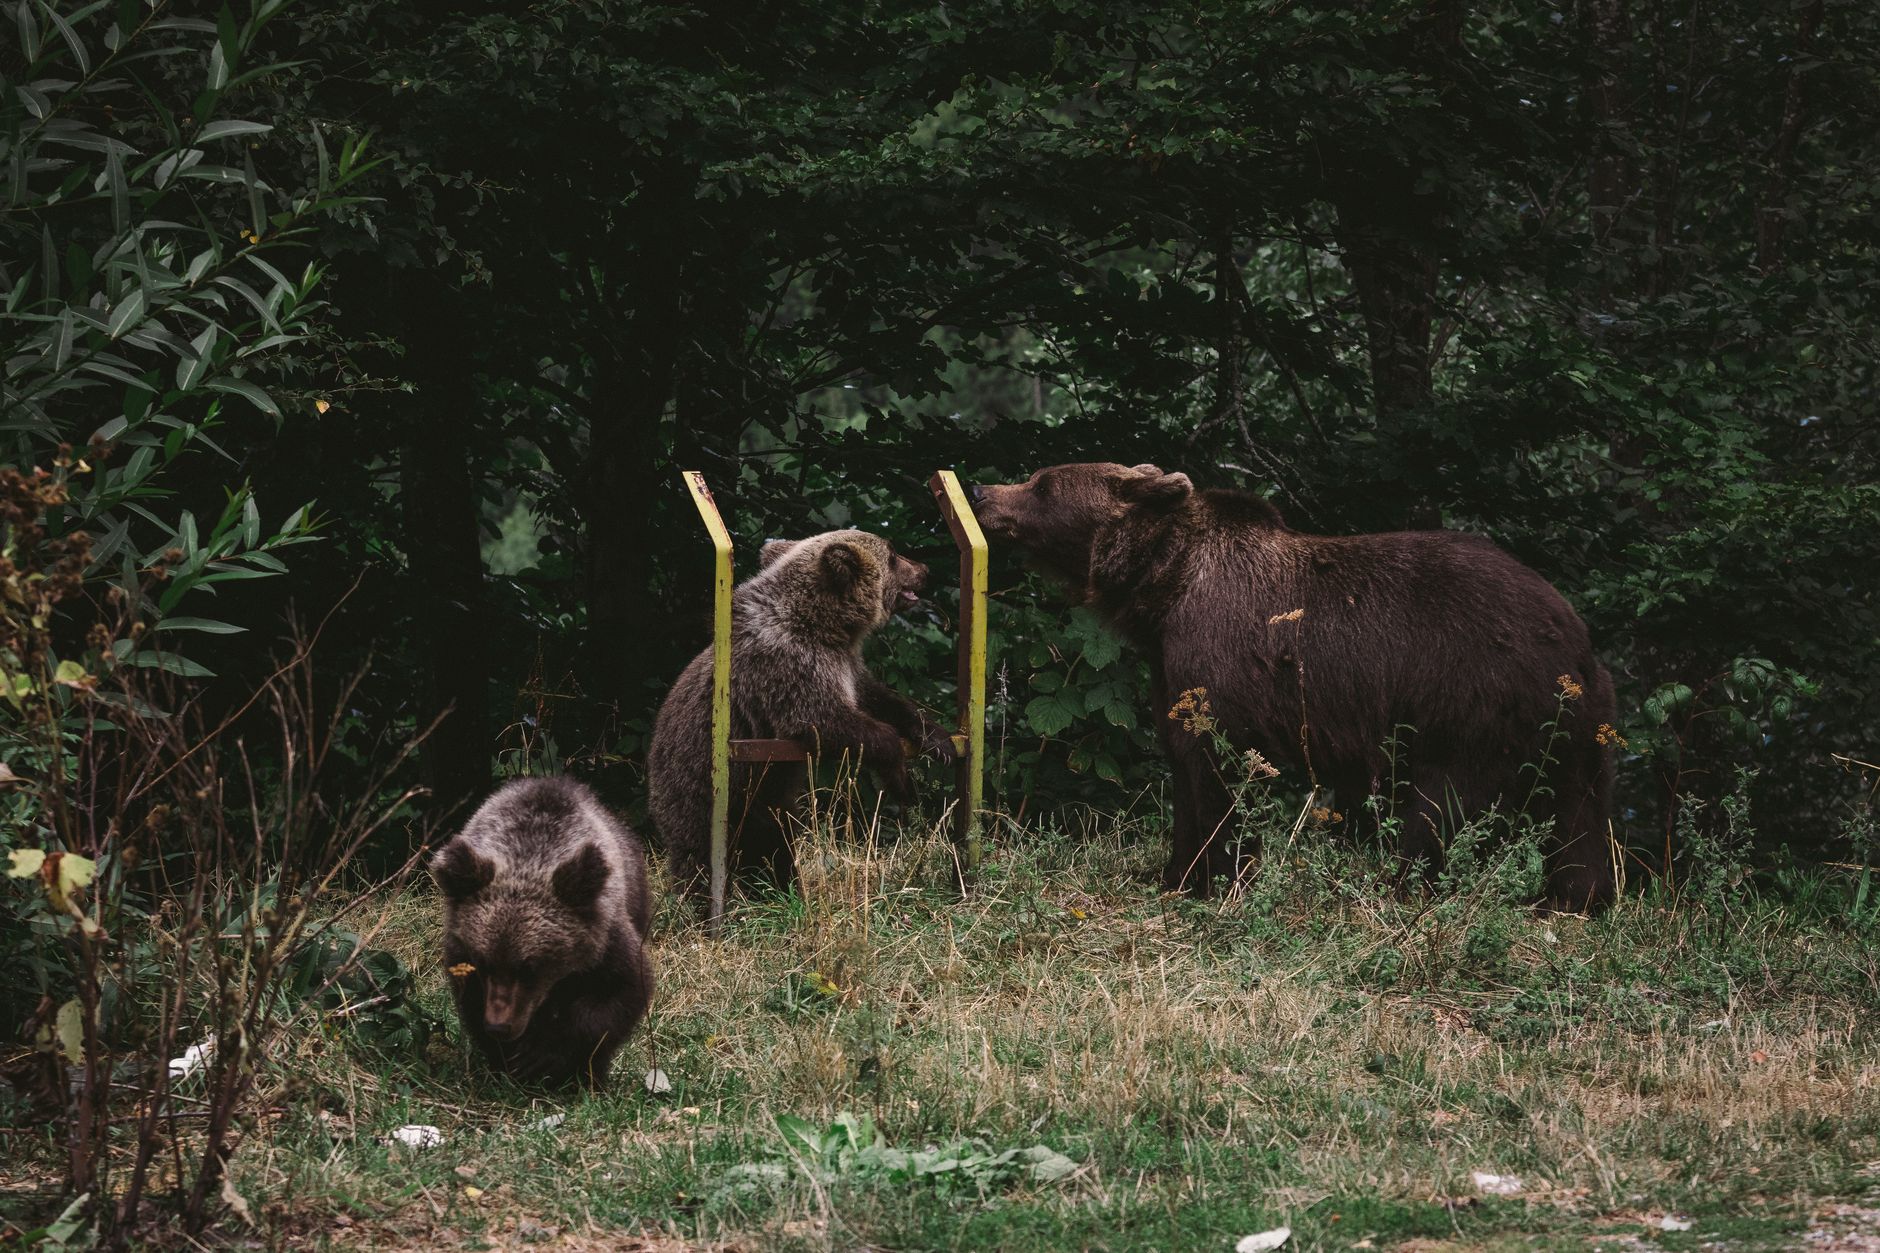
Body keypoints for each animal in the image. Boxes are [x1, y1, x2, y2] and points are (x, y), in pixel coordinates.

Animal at [429, 776, 654, 1088]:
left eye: (529, 968)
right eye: (484, 962)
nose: (499, 1025)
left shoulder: (606, 939)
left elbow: (620, 994)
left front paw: (543, 1056)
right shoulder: (461, 950)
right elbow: (471, 1003)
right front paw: (507, 1063)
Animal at [647, 528, 952, 905]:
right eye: (893, 555)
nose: (925, 569)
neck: (827, 627)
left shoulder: (847, 667)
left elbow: (880, 698)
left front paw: (938, 740)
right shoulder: (789, 667)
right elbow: (826, 722)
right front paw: (901, 779)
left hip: (765, 802)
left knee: (772, 845)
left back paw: (780, 891)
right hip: (697, 786)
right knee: (698, 856)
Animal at [970, 462, 1617, 912]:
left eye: (1043, 484)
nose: (980, 491)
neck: (1165, 588)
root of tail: (1575, 635)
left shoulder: (1222, 654)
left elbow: (1220, 768)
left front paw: (1220, 876)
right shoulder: (1170, 669)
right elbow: (1184, 760)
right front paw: (1177, 873)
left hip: (1472, 697)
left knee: (1441, 803)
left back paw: (1399, 885)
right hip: (1573, 727)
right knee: (1579, 813)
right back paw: (1574, 898)